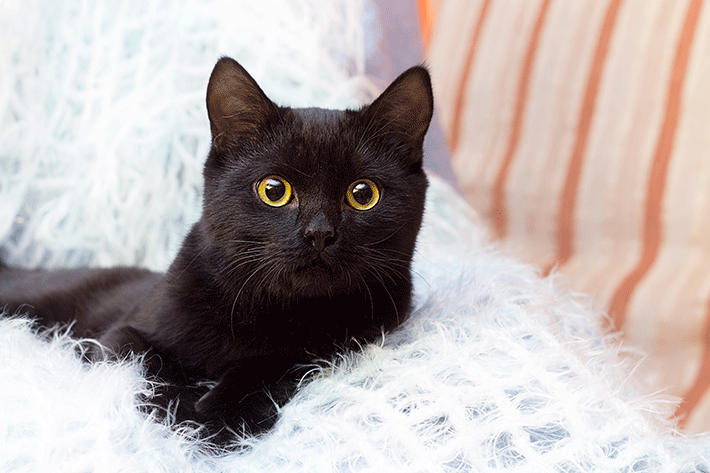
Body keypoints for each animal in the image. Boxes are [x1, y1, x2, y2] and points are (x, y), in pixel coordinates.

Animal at [0, 57, 434, 440]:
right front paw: (176, 416)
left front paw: (219, 420)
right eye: (273, 190)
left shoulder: (337, 347)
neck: (270, 311)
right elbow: (145, 363)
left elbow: (274, 367)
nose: (319, 233)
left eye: (363, 194)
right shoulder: (120, 332)